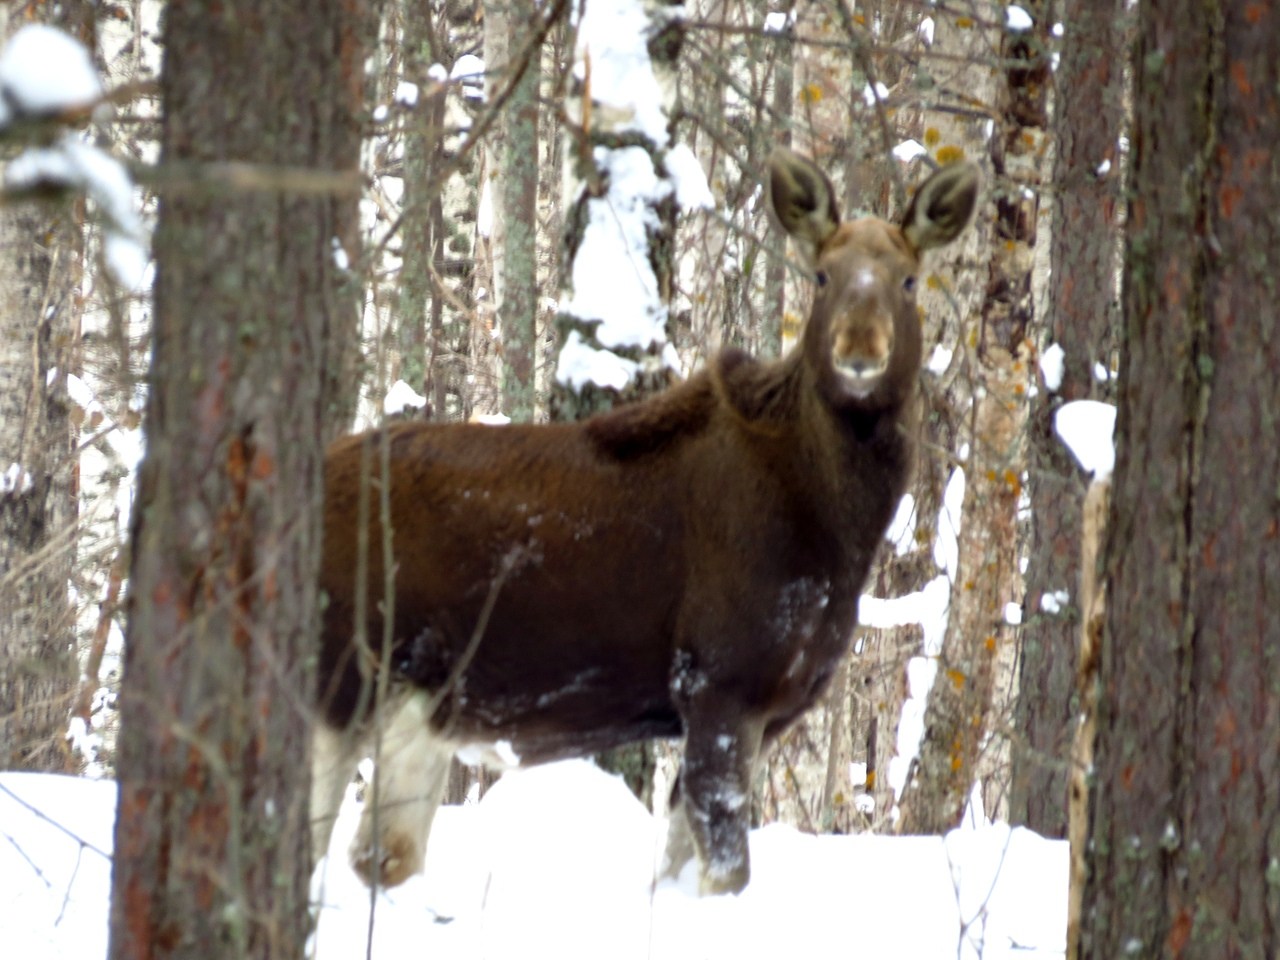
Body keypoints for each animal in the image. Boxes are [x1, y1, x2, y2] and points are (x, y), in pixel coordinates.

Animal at [312, 146, 977, 901]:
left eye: (908, 279)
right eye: (822, 275)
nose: (859, 349)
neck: (838, 531)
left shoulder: (765, 704)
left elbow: (678, 866)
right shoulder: (719, 679)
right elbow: (725, 868)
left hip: (421, 709)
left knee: (380, 856)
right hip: (338, 681)